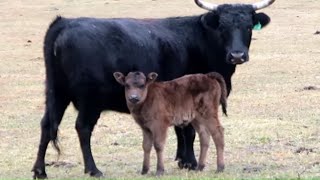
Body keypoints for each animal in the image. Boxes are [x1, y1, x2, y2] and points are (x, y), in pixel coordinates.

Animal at [31, 0, 276, 179]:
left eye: (248, 26)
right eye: (223, 28)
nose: (237, 55)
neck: (201, 38)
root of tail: (64, 23)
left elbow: (182, 129)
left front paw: (181, 160)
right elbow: (187, 130)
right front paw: (190, 162)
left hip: (55, 93)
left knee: (46, 125)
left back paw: (40, 170)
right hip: (89, 100)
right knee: (82, 128)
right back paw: (93, 169)